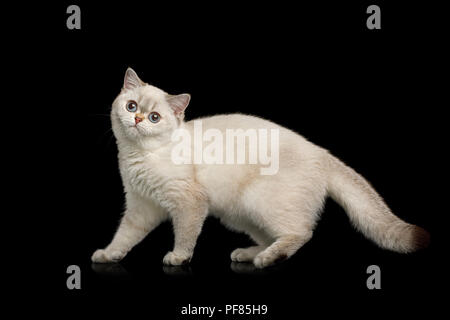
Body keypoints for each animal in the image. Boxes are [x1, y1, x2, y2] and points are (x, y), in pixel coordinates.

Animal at [90, 69, 428, 268]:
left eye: (155, 117)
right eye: (132, 106)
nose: (137, 119)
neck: (139, 156)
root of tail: (321, 152)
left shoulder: (189, 204)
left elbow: (185, 236)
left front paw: (177, 258)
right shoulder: (140, 208)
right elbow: (124, 237)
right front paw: (107, 255)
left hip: (258, 202)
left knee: (301, 232)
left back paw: (267, 259)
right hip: (240, 214)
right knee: (275, 236)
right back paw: (247, 255)